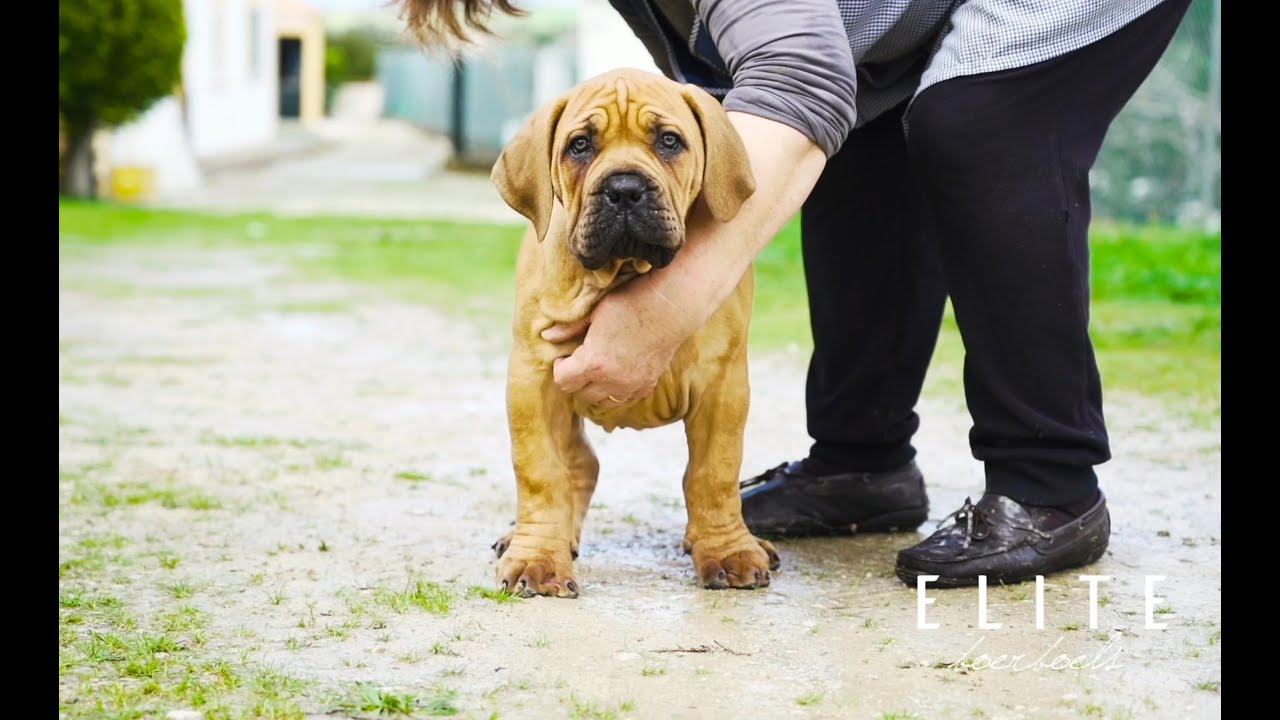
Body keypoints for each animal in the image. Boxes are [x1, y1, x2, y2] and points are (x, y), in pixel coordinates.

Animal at [486, 68, 773, 594]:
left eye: (669, 141)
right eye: (580, 145)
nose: (623, 189)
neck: (623, 271)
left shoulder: (723, 386)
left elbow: (715, 473)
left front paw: (728, 550)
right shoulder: (533, 380)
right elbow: (539, 472)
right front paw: (538, 558)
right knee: (578, 465)